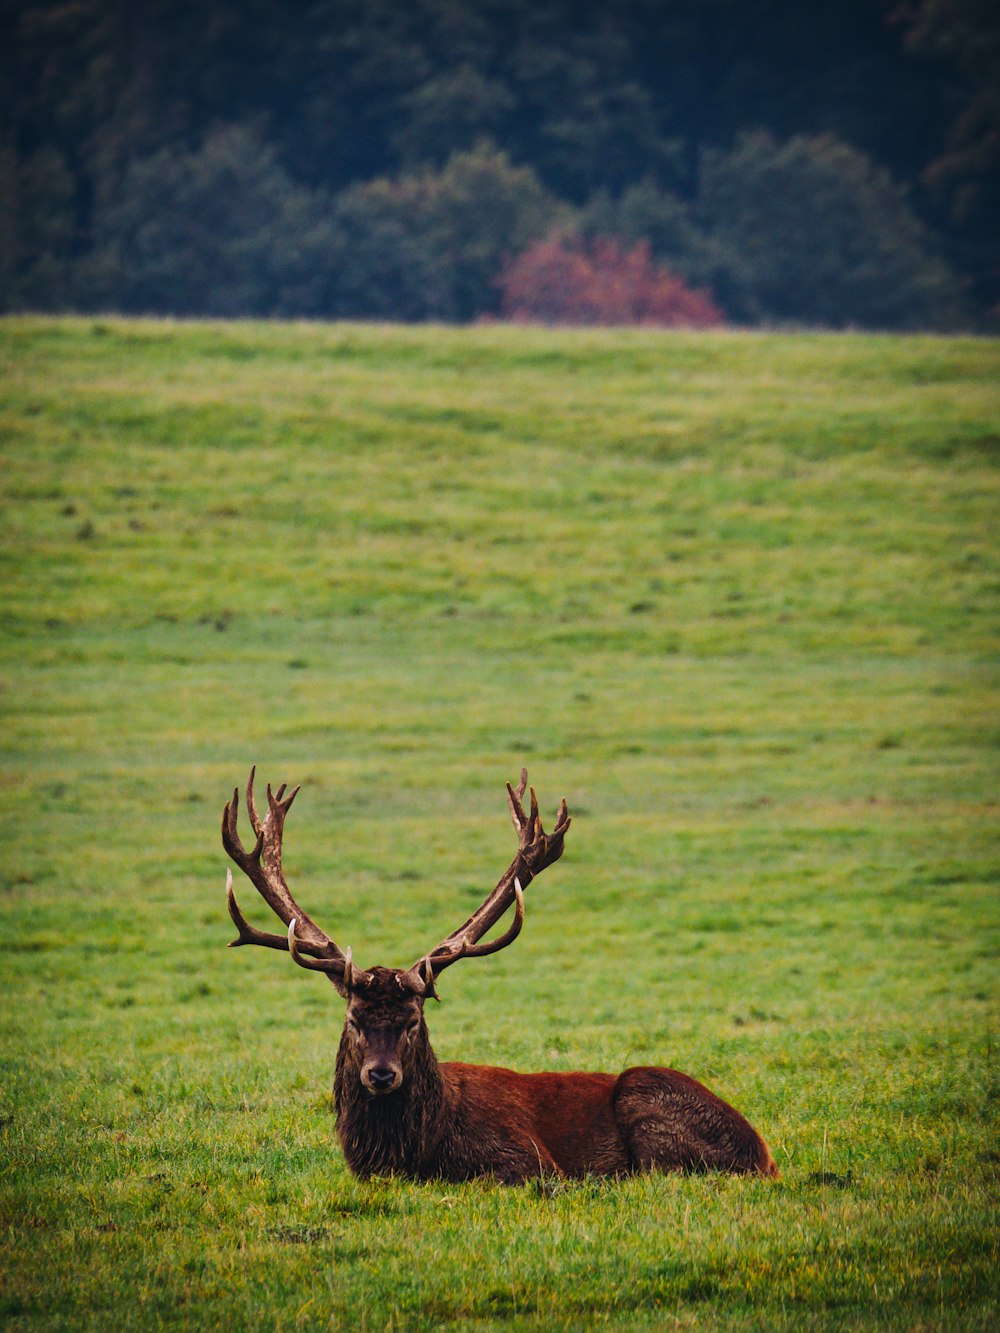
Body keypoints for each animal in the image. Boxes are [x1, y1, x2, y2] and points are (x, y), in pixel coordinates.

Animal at [221, 767, 784, 1183]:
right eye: (355, 1018)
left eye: (413, 1020)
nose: (381, 1075)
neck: (415, 1151)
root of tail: (763, 1156)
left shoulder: (529, 1162)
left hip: (646, 1097)